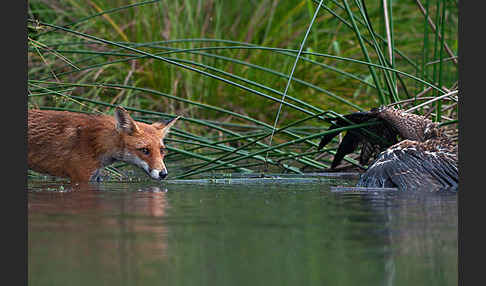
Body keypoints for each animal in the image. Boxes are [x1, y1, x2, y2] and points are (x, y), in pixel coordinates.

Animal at [28, 106, 180, 183]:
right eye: (144, 150)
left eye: (162, 151)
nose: (163, 174)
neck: (96, 142)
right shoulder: (81, 177)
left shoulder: (95, 177)